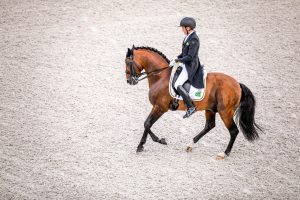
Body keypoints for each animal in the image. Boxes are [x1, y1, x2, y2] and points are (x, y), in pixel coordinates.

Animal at [123, 45, 260, 159]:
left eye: (128, 63)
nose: (129, 81)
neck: (160, 76)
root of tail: (237, 84)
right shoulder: (158, 107)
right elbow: (147, 124)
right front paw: (153, 142)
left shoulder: (160, 107)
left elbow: (147, 123)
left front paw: (147, 144)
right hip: (210, 109)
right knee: (209, 126)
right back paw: (190, 144)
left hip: (225, 112)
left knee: (233, 131)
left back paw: (224, 153)